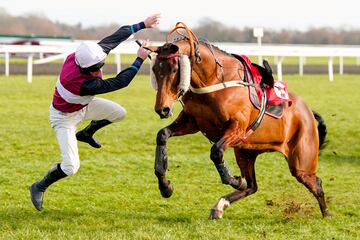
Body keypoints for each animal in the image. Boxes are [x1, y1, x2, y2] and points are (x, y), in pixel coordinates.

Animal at [146, 22, 330, 219]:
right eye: (155, 70)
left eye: (174, 70)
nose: (162, 109)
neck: (214, 81)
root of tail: (307, 111)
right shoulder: (192, 121)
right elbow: (162, 135)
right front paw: (165, 186)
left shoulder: (237, 128)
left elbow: (216, 151)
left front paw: (235, 180)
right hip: (245, 152)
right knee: (252, 186)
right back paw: (220, 206)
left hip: (301, 161)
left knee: (316, 183)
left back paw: (327, 214)